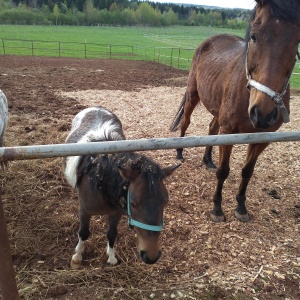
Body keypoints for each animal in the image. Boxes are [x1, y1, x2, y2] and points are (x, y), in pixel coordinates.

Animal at [63, 106, 179, 268]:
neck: (100, 180)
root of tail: (96, 107)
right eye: (133, 203)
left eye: (165, 202)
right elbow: (84, 233)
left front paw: (111, 257)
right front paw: (77, 257)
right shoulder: (84, 211)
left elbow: (112, 234)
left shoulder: (115, 213)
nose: (151, 256)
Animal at [170, 0, 298, 223]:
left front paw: (241, 206)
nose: (263, 113)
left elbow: (247, 171)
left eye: (297, 41)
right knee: (185, 122)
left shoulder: (262, 138)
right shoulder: (229, 131)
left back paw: (208, 160)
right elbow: (224, 171)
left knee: (212, 128)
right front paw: (217, 209)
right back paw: (179, 153)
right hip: (193, 94)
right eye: (254, 35)